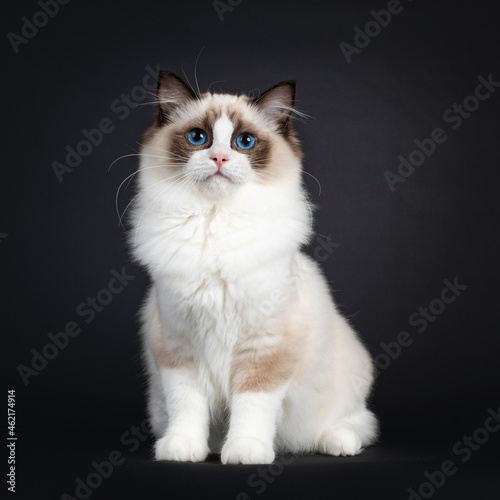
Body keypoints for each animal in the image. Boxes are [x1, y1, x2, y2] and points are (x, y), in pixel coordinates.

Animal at [130, 71, 378, 464]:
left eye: (243, 142)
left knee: (359, 424)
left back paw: (336, 443)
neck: (216, 223)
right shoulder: (179, 347)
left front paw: (246, 450)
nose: (219, 157)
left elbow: (252, 406)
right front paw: (184, 448)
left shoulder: (264, 348)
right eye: (198, 138)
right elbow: (187, 405)